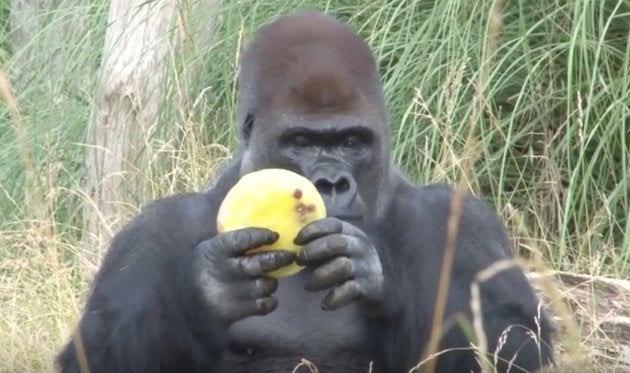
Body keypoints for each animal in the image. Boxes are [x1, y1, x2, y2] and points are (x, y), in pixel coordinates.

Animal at [58, 8, 552, 372]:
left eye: (352, 142)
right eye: (301, 141)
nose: (331, 182)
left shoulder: (462, 220)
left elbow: (517, 343)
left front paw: (372, 271)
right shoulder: (153, 229)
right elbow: (92, 353)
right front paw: (210, 287)